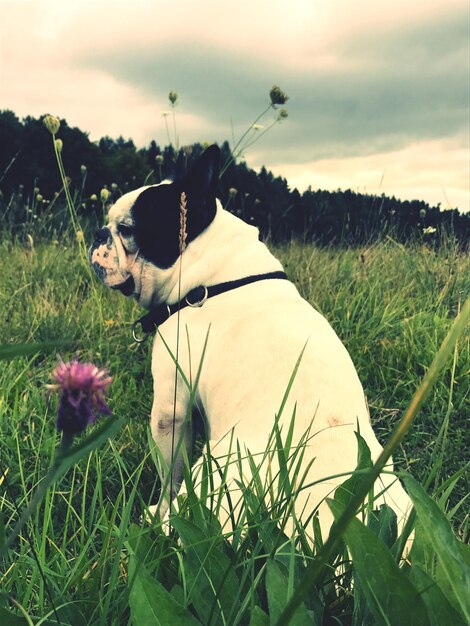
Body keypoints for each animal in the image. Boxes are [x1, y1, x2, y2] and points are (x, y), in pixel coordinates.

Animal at [88, 145, 412, 540]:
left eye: (126, 230)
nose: (98, 234)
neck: (211, 280)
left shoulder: (170, 407)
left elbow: (170, 475)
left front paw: (158, 508)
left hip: (218, 465)